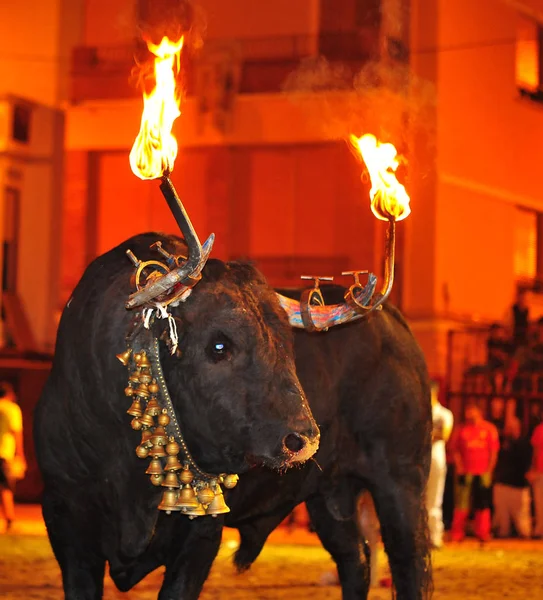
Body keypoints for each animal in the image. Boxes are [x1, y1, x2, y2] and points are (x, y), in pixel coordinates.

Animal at [34, 233, 434, 600]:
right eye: (219, 345)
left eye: (285, 344)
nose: (303, 441)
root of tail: (393, 322)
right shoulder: (65, 519)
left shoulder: (201, 533)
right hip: (329, 497)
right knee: (356, 559)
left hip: (401, 482)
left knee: (408, 563)